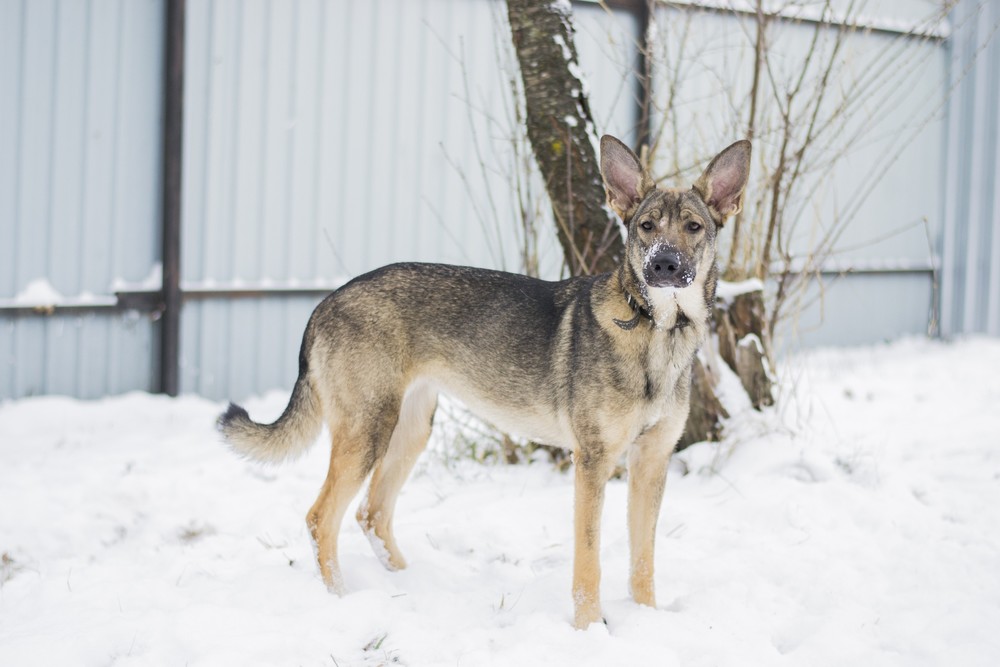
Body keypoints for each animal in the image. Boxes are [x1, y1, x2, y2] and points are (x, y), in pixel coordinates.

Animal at [221, 134, 752, 628]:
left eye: (693, 227)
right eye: (646, 226)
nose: (663, 265)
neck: (657, 330)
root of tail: (326, 301)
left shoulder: (651, 462)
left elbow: (643, 561)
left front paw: (646, 619)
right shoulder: (592, 462)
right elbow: (588, 563)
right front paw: (588, 629)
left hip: (410, 431)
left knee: (371, 514)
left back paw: (410, 585)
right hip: (368, 432)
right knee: (320, 519)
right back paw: (339, 600)